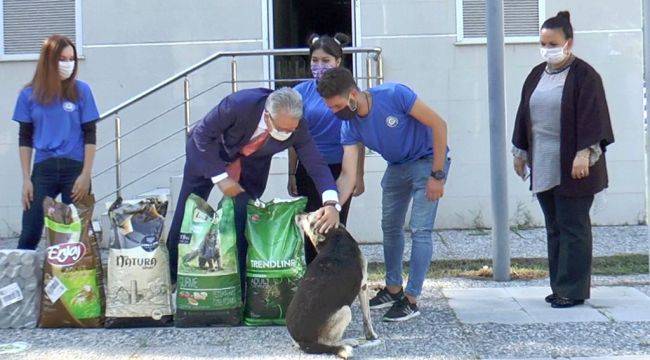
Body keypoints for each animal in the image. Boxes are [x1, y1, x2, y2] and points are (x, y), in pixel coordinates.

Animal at [286, 212, 378, 358]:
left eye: (309, 215)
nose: (298, 214)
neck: (333, 237)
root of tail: (303, 342)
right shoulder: (363, 286)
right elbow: (367, 317)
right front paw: (371, 335)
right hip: (345, 311)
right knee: (329, 342)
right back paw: (348, 342)